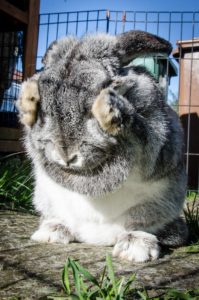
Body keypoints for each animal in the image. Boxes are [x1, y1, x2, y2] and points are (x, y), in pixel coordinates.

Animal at [17, 29, 188, 262]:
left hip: (155, 208)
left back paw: (134, 248)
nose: (66, 157)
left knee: (145, 227)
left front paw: (107, 106)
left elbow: (139, 128)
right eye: (45, 113)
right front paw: (28, 96)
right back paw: (52, 232)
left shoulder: (159, 137)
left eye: (89, 112)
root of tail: (94, 237)